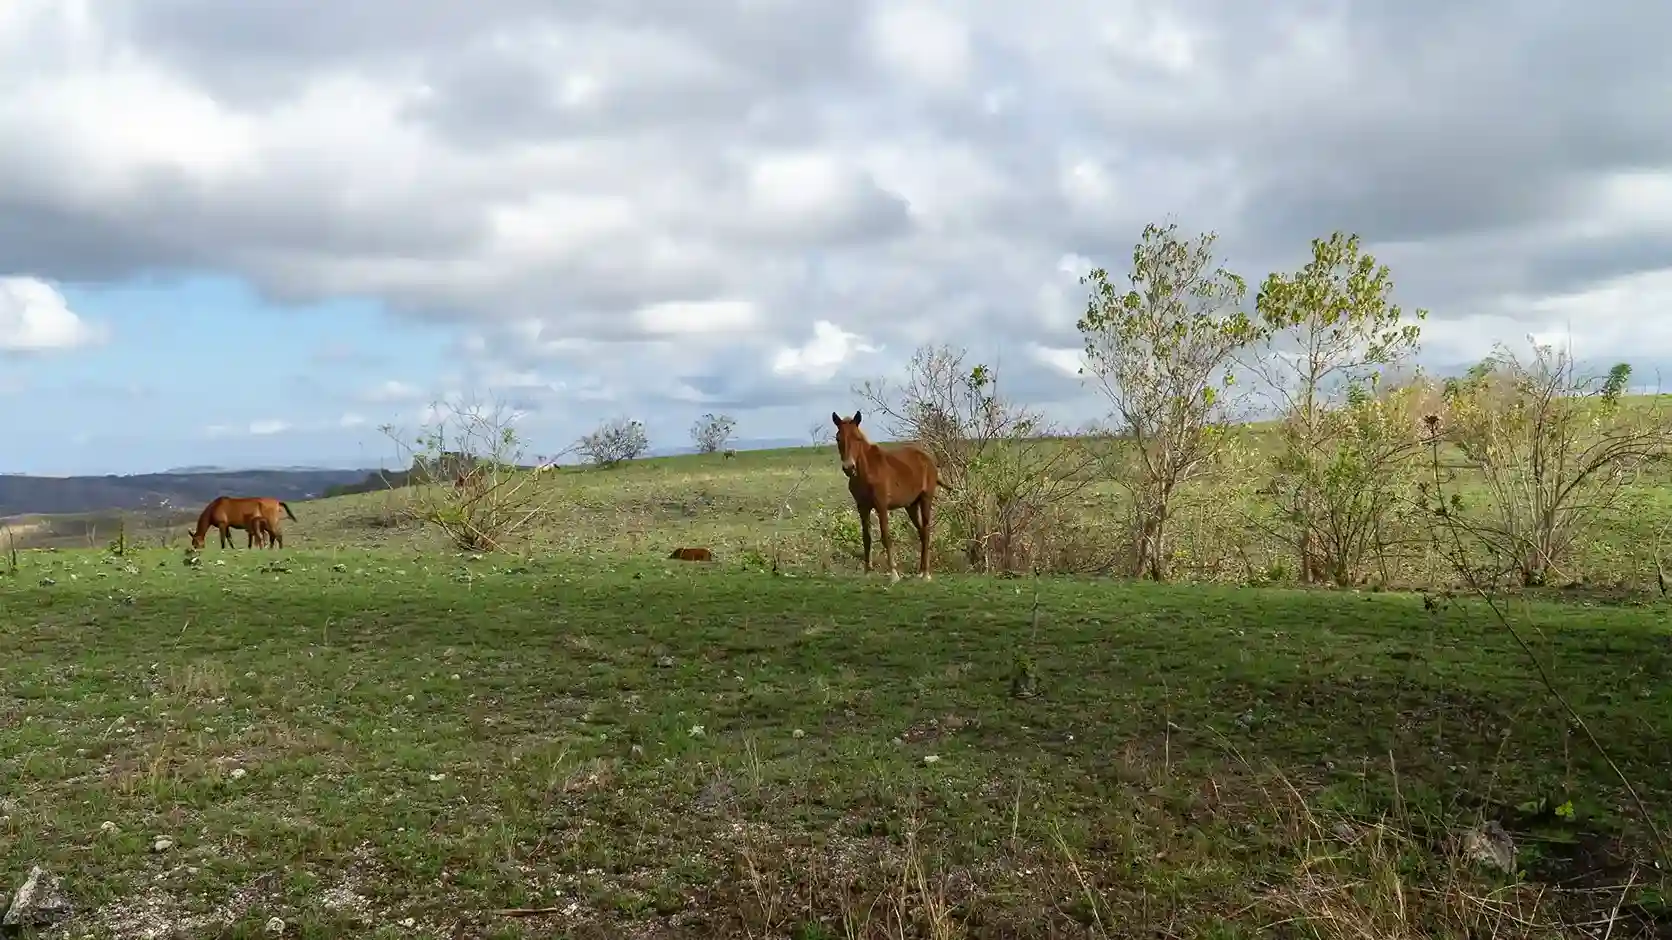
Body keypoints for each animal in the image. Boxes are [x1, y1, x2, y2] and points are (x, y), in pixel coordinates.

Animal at [830, 410, 945, 582]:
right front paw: (867, 571)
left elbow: (885, 536)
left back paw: (926, 573)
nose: (849, 467)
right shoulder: (862, 508)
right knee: (921, 531)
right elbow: (866, 537)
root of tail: (928, 460)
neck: (867, 472)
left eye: (857, 438)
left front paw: (893, 573)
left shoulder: (881, 506)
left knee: (926, 530)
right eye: (838, 438)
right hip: (911, 505)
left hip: (926, 499)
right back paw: (920, 571)